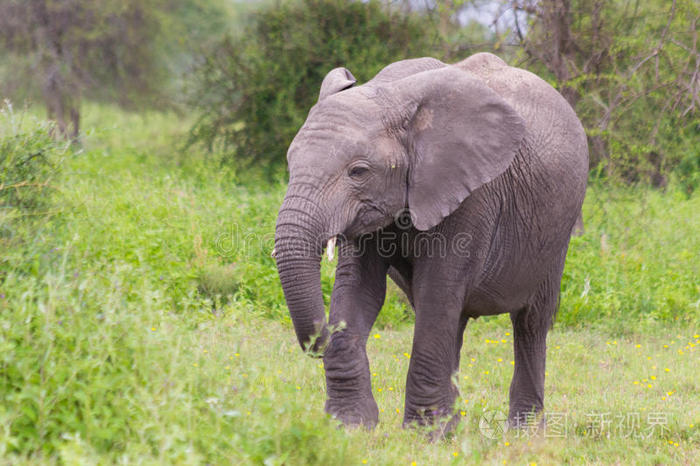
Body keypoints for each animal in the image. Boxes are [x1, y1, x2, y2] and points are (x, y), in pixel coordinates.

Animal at [274, 52, 592, 432]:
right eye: (290, 163)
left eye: (358, 171)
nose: (318, 341)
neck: (392, 95)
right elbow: (359, 289)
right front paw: (351, 426)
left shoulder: (471, 191)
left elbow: (436, 290)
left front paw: (423, 435)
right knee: (454, 321)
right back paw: (453, 425)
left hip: (558, 229)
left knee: (530, 322)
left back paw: (522, 431)